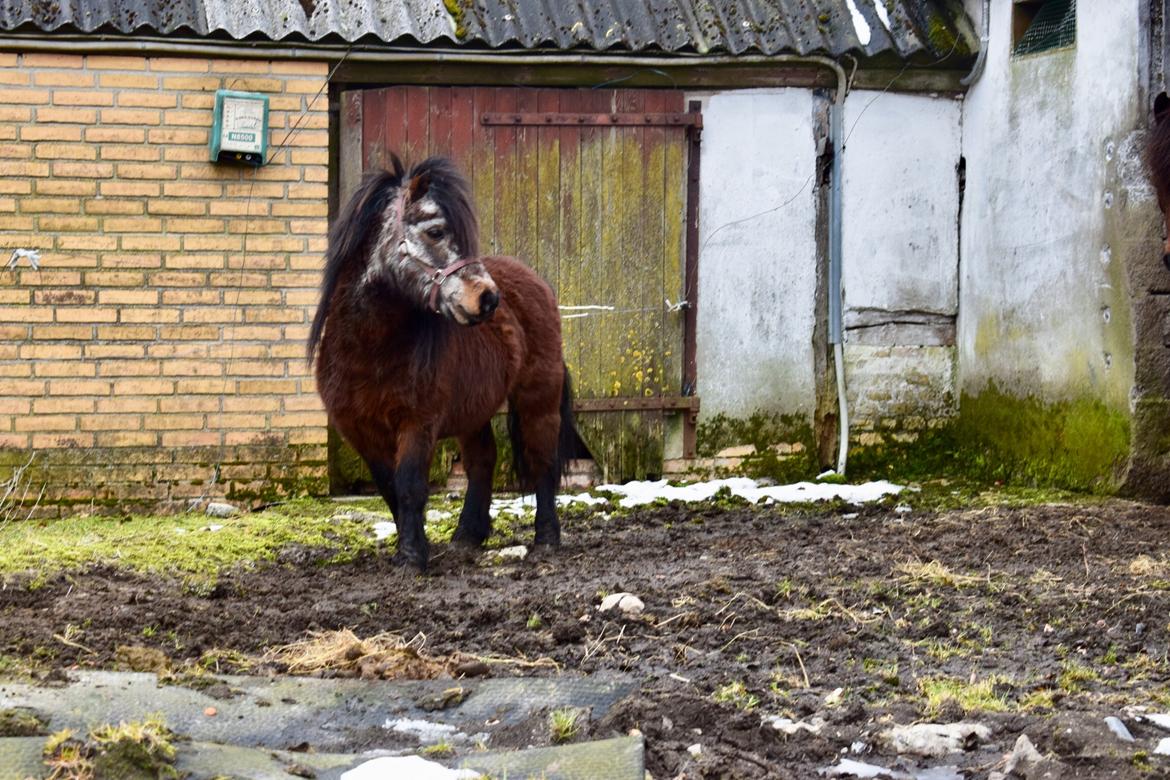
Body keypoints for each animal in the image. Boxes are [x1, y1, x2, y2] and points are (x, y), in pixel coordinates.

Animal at [308, 155, 575, 572]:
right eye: (435, 231)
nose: (488, 298)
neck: (368, 349)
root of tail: (536, 281)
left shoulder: (418, 422)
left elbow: (410, 485)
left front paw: (412, 556)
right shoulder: (359, 430)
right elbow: (389, 487)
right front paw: (412, 545)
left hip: (539, 398)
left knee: (542, 460)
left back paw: (547, 537)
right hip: (474, 410)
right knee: (483, 460)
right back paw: (468, 535)